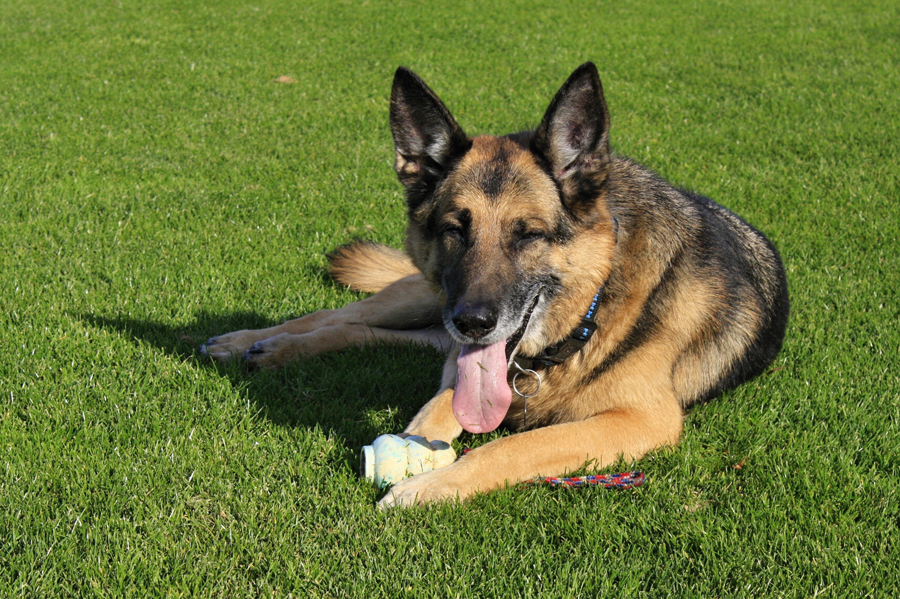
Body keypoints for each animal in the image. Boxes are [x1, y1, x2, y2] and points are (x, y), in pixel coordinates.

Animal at [204, 64, 788, 506]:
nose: (473, 322)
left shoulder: (641, 420)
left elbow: (510, 447)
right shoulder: (462, 360)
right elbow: (438, 412)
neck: (589, 314)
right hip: (425, 297)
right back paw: (250, 343)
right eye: (454, 229)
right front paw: (419, 459)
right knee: (337, 317)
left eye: (528, 234)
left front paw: (428, 485)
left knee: (369, 333)